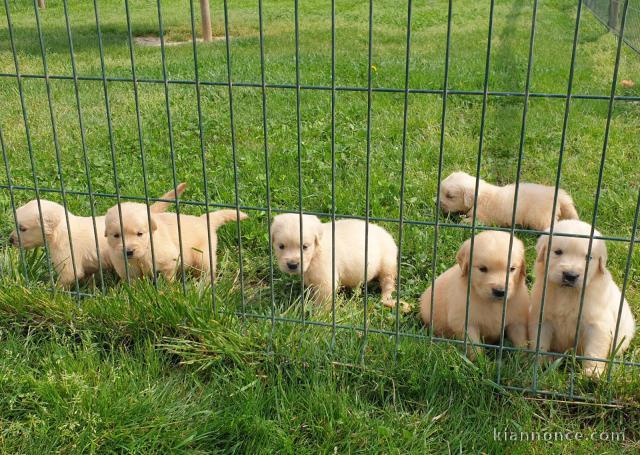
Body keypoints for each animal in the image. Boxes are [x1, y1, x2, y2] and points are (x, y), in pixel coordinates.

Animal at [104, 202, 246, 284]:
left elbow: (169, 278)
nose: (128, 252)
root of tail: (203, 220)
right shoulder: (126, 269)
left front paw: (169, 290)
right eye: (116, 235)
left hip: (203, 256)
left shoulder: (170, 260)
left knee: (207, 272)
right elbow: (134, 284)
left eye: (140, 234)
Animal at [270, 215, 400, 308]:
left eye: (305, 246)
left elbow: (322, 303)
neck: (316, 252)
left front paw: (317, 317)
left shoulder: (326, 282)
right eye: (281, 246)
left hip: (387, 262)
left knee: (388, 282)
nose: (292, 265)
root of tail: (388, 234)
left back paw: (386, 299)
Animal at [440, 173, 580, 233]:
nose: (437, 203)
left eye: (449, 196)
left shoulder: (481, 218)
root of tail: (559, 195)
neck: (479, 196)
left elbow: (470, 221)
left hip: (541, 218)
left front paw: (460, 222)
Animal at [528, 221, 636, 378]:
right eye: (558, 252)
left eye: (588, 257)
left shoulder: (597, 325)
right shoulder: (542, 318)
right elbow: (539, 342)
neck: (567, 293)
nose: (570, 275)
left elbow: (594, 350)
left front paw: (592, 373)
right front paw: (536, 366)